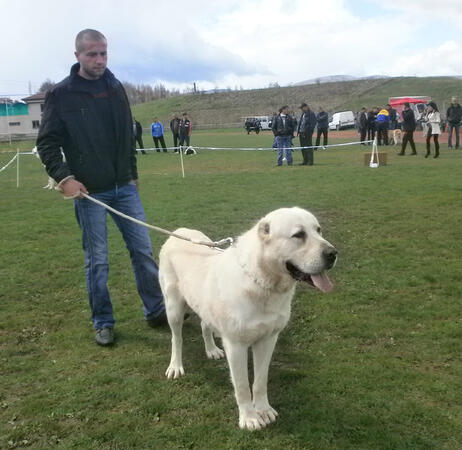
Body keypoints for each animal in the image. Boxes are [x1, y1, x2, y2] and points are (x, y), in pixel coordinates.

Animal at [159, 206, 336, 430]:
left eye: (318, 230)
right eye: (298, 235)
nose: (333, 254)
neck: (262, 282)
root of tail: (177, 232)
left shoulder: (268, 340)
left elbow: (260, 381)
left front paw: (263, 410)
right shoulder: (236, 346)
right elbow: (242, 385)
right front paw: (249, 418)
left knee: (204, 325)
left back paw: (211, 350)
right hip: (173, 309)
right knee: (177, 338)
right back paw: (175, 366)